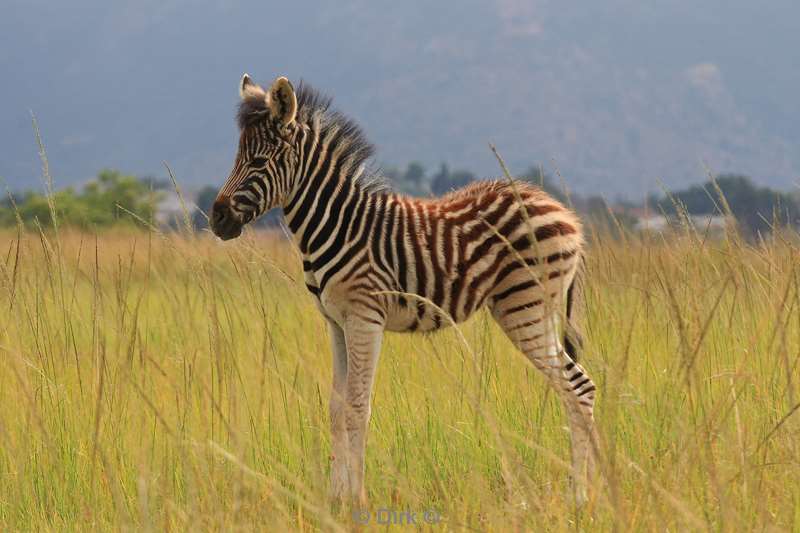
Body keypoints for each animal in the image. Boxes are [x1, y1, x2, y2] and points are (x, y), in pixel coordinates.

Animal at [209, 72, 596, 504]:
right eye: (237, 157)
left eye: (258, 162)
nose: (216, 218)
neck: (337, 222)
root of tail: (567, 215)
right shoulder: (336, 322)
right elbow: (336, 408)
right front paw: (335, 498)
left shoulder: (365, 318)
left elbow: (357, 407)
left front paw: (357, 500)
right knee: (574, 389)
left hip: (525, 307)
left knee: (579, 387)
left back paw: (581, 496)